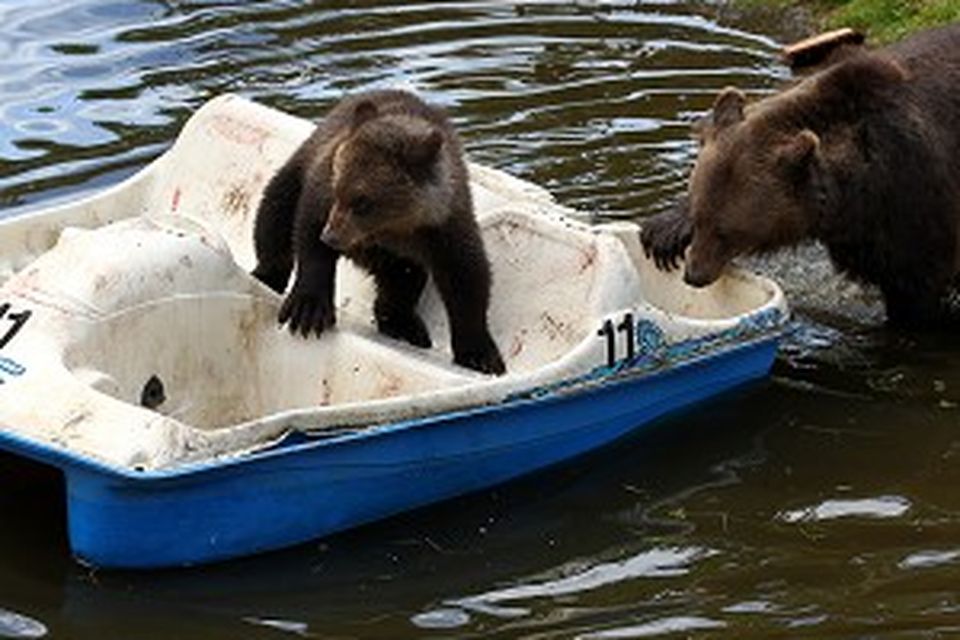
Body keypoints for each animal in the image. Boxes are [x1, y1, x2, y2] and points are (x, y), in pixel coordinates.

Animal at [255, 87, 506, 372]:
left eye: (362, 201)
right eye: (338, 188)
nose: (331, 237)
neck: (391, 228)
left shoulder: (442, 228)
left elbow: (467, 279)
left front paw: (481, 355)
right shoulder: (320, 190)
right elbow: (307, 235)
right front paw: (308, 310)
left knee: (401, 282)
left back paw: (404, 325)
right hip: (296, 170)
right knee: (274, 213)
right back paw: (267, 274)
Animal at [640, 22, 960, 328]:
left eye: (727, 232)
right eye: (699, 218)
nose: (694, 274)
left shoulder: (912, 195)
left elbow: (915, 286)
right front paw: (662, 235)